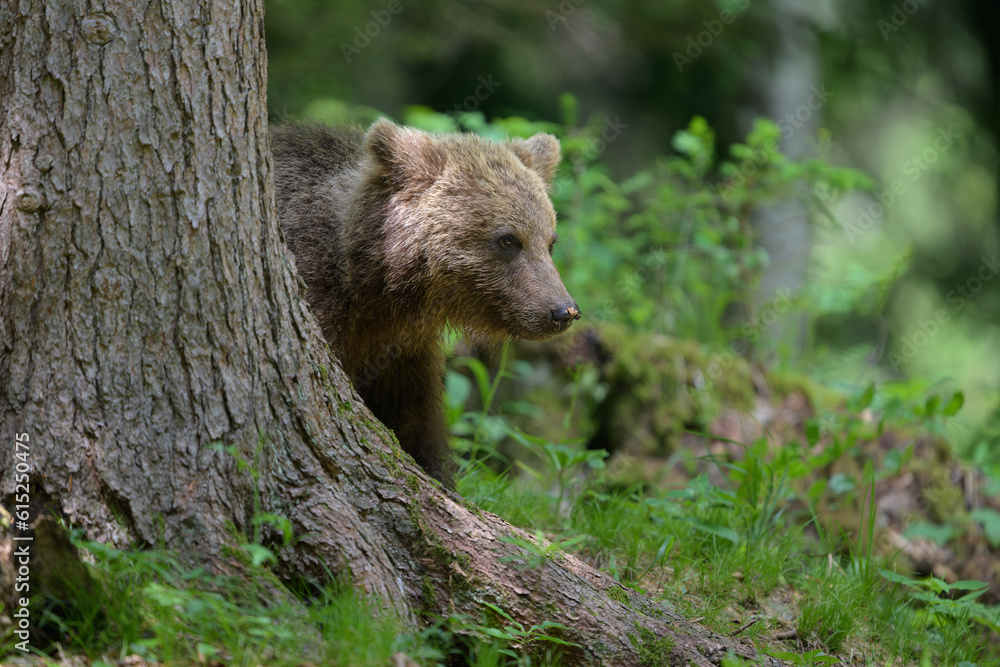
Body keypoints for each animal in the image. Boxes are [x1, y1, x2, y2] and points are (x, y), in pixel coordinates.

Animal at [271, 119, 580, 489]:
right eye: (508, 239)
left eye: (550, 241)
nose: (563, 310)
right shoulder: (320, 295)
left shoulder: (402, 352)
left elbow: (415, 420)